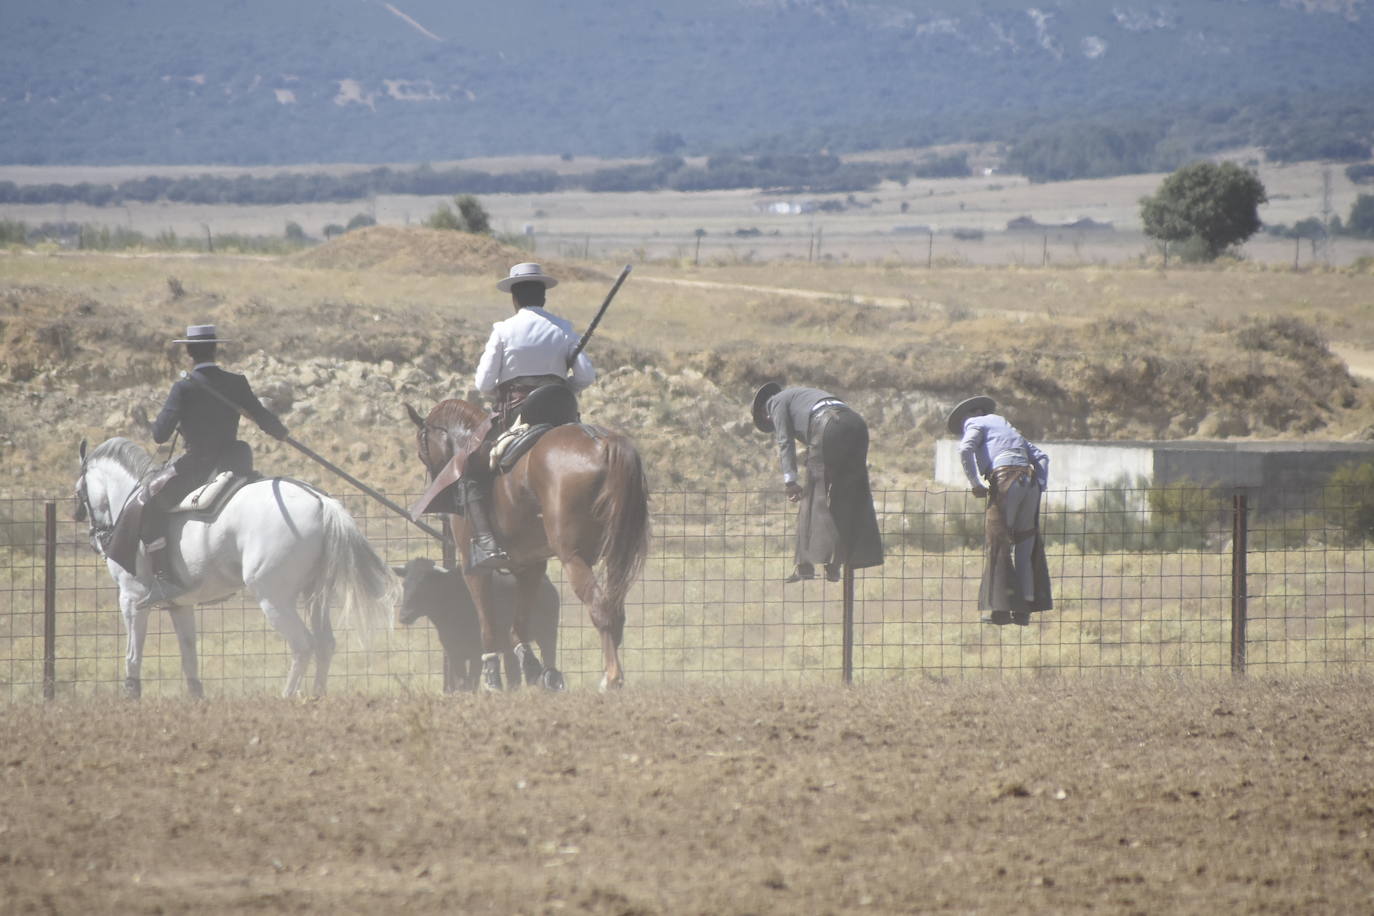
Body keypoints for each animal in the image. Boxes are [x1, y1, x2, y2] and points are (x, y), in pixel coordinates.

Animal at [75, 439, 398, 697]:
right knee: (324, 644)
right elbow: (189, 654)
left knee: (303, 645)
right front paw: (195, 697)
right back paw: (317, 695)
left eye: (79, 491)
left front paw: (131, 693)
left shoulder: (131, 598)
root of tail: (320, 502)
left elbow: (133, 653)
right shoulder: (180, 604)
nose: (96, 538)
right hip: (316, 596)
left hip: (274, 599)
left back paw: (287, 696)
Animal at [401, 398, 648, 692]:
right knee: (615, 608)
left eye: (420, 450)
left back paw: (611, 677)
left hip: (573, 556)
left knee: (600, 607)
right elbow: (517, 626)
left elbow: (488, 627)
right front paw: (532, 670)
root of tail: (602, 442)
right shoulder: (530, 566)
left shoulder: (474, 569)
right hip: (614, 555)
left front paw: (492, 678)